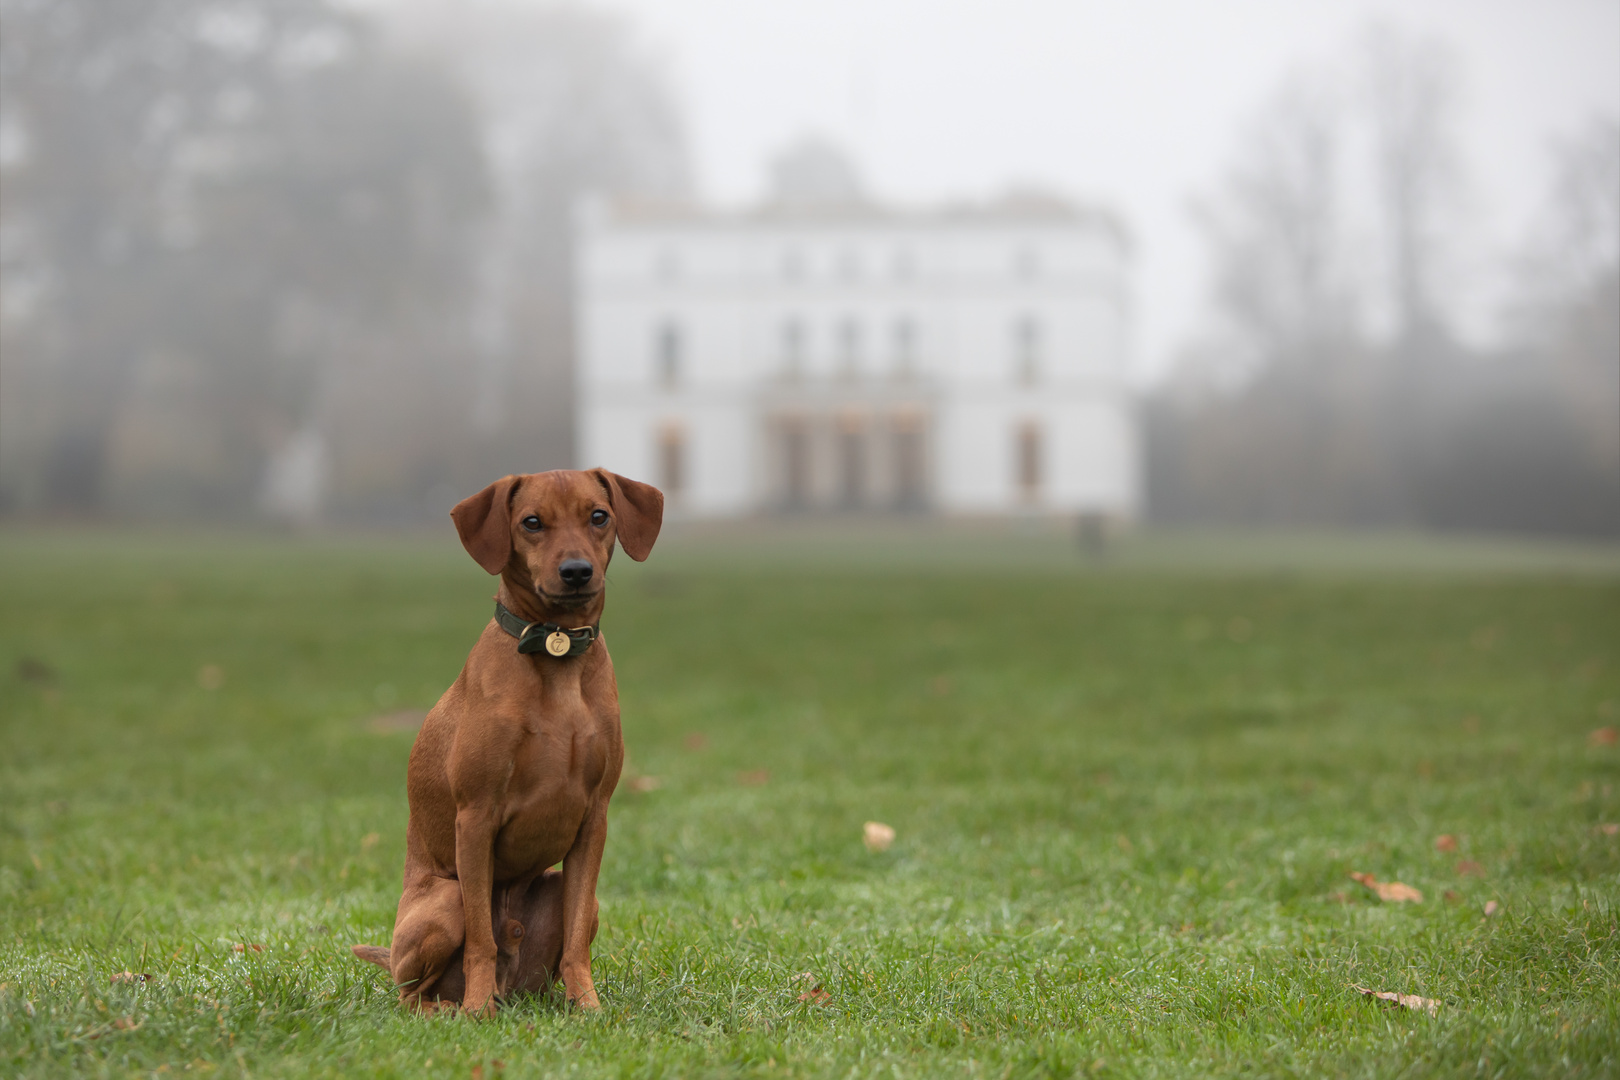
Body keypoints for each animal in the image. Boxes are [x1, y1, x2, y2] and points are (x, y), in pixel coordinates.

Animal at [353, 469, 657, 1016]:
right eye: (531, 523)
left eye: (599, 516)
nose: (577, 572)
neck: (557, 652)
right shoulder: (475, 817)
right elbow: (481, 939)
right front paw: (478, 1012)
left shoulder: (595, 818)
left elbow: (576, 942)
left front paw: (589, 1007)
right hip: (442, 903)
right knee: (414, 992)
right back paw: (453, 1007)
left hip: (569, 902)